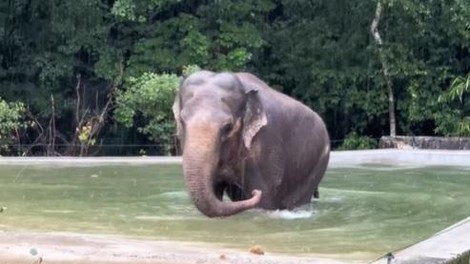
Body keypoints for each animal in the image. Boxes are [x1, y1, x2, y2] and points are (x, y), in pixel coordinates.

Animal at [173, 69, 330, 217]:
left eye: (228, 127)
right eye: (181, 121)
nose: (255, 193)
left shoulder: (267, 145)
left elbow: (265, 199)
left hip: (318, 163)